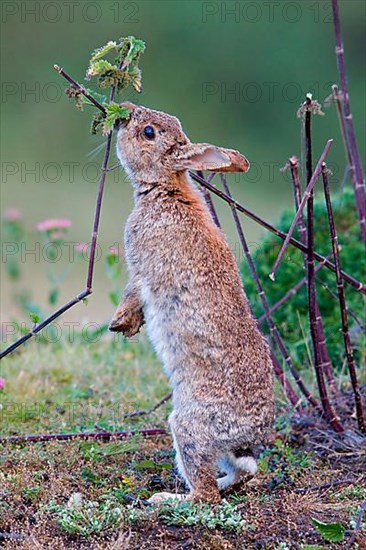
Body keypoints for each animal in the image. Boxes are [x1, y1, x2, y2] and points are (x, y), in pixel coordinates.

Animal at [108, 102, 274, 504]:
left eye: (148, 133)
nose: (125, 113)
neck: (168, 187)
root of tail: (253, 431)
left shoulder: (143, 268)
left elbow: (133, 292)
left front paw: (121, 323)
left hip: (188, 425)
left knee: (205, 494)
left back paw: (168, 500)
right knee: (243, 473)